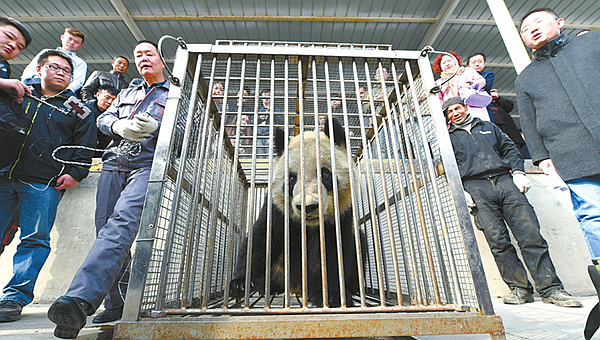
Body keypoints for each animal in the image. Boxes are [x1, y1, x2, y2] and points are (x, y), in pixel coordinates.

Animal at [230, 117, 360, 308]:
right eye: (291, 178)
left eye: (325, 175)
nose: (308, 206)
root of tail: (295, 289)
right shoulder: (276, 208)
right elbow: (261, 238)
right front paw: (242, 283)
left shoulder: (341, 213)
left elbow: (333, 250)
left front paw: (331, 295)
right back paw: (269, 286)